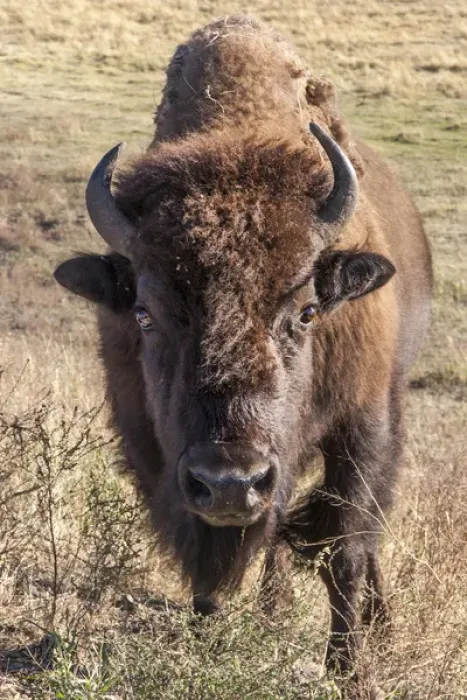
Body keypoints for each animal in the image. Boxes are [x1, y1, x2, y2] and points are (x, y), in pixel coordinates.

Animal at [54, 15, 432, 685]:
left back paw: (380, 629)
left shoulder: (364, 426)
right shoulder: (151, 445)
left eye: (306, 311)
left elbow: (348, 548)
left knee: (359, 541)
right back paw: (273, 612)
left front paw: (347, 669)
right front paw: (209, 638)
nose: (230, 482)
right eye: (146, 315)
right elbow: (208, 562)